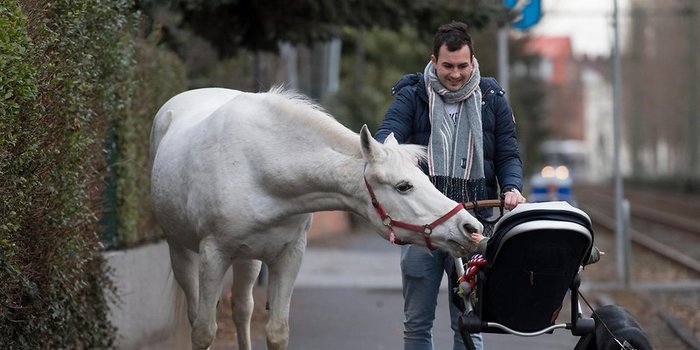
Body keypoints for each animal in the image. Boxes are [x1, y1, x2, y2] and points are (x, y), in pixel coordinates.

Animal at [150, 87, 484, 350]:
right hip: (182, 251)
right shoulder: (213, 255)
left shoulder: (288, 256)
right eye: (404, 186)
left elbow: (277, 332)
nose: (470, 227)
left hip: (248, 259)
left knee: (242, 310)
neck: (259, 167)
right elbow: (203, 333)